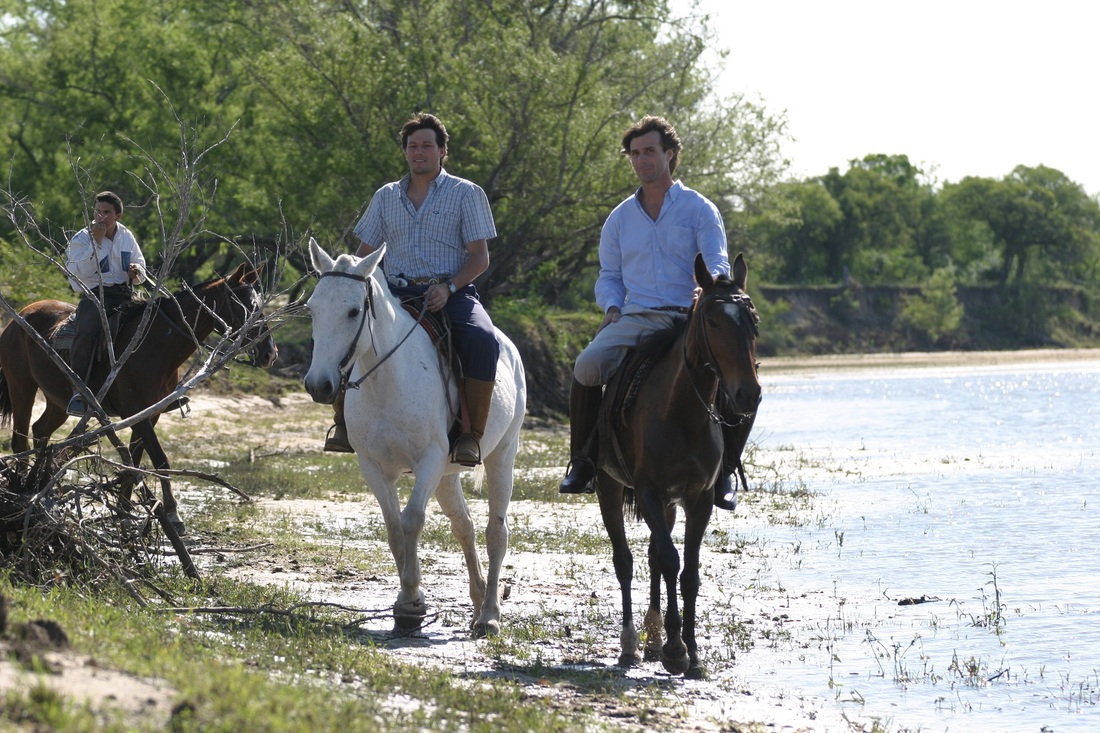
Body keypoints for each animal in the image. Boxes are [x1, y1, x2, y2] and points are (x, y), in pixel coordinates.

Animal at [0, 263, 277, 530]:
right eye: (243, 304)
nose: (269, 353)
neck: (155, 344)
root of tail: (19, 317)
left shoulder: (150, 414)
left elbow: (133, 460)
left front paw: (125, 512)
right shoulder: (136, 412)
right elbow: (159, 459)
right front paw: (173, 515)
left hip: (56, 401)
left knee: (40, 430)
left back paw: (37, 484)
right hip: (21, 388)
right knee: (20, 440)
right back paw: (21, 491)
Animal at [301, 238, 523, 633]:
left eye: (354, 311)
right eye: (312, 309)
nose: (319, 385)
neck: (388, 379)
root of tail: (510, 349)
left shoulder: (428, 460)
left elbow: (412, 521)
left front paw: (410, 601)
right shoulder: (373, 466)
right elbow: (393, 528)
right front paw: (408, 602)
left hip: (501, 457)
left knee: (496, 532)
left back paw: (489, 615)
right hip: (447, 476)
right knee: (464, 526)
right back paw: (478, 600)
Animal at [598, 253, 761, 677]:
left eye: (752, 319)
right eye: (712, 320)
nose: (748, 393)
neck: (683, 412)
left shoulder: (697, 498)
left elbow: (688, 573)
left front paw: (691, 653)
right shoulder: (649, 492)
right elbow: (671, 562)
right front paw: (675, 648)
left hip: (670, 504)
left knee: (654, 555)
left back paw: (653, 639)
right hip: (609, 487)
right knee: (625, 561)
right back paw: (631, 644)